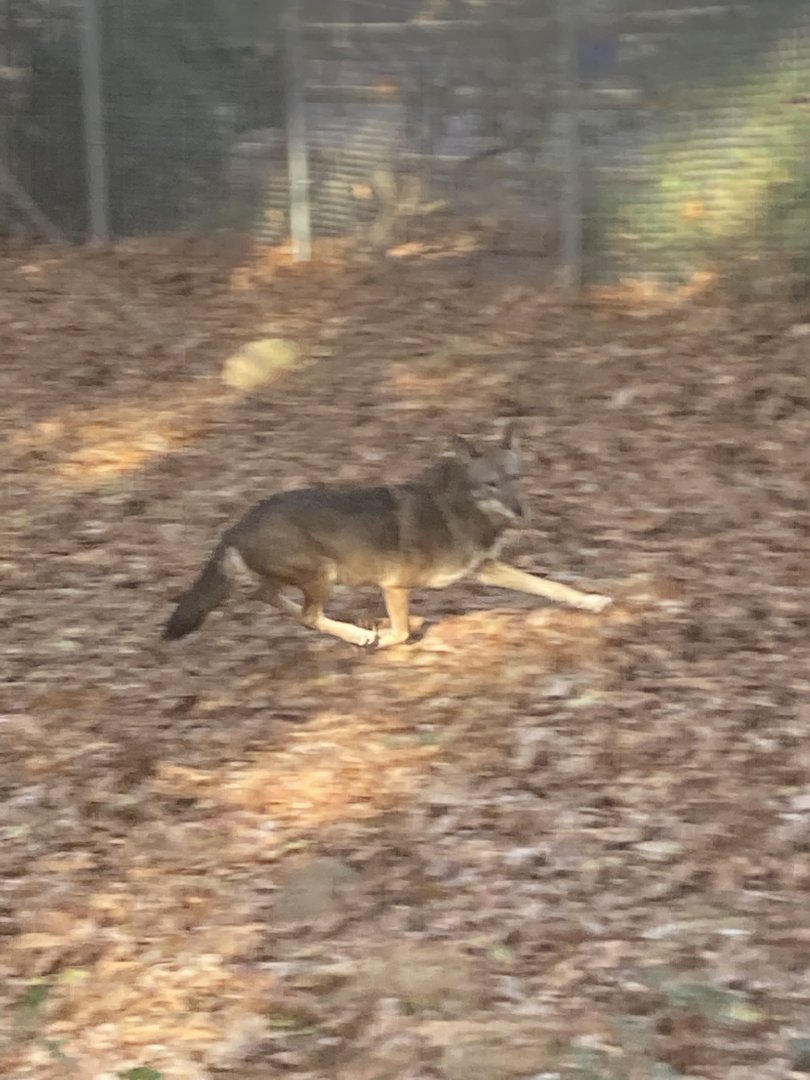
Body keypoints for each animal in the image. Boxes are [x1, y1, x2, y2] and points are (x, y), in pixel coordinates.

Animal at [162, 425, 611, 649]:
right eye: (491, 483)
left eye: (516, 477)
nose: (521, 511)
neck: (461, 509)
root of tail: (234, 526)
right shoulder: (394, 585)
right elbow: (401, 632)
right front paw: (382, 635)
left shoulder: (486, 569)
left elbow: (552, 586)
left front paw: (592, 601)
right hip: (324, 574)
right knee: (307, 614)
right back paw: (360, 634)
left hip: (309, 578)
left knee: (272, 599)